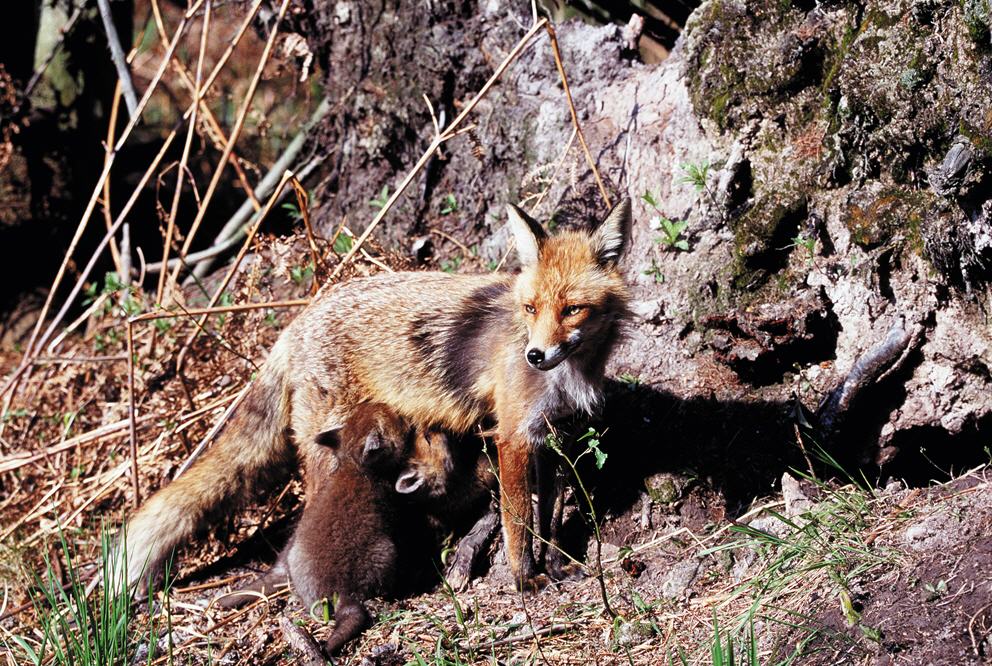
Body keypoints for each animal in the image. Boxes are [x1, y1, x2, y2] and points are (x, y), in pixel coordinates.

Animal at [124, 197, 632, 588]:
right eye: (530, 308)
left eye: (572, 310)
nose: (535, 355)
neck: (569, 374)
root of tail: (296, 322)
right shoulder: (513, 438)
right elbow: (519, 524)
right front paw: (526, 579)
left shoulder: (552, 436)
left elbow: (549, 516)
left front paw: (558, 566)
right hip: (329, 452)